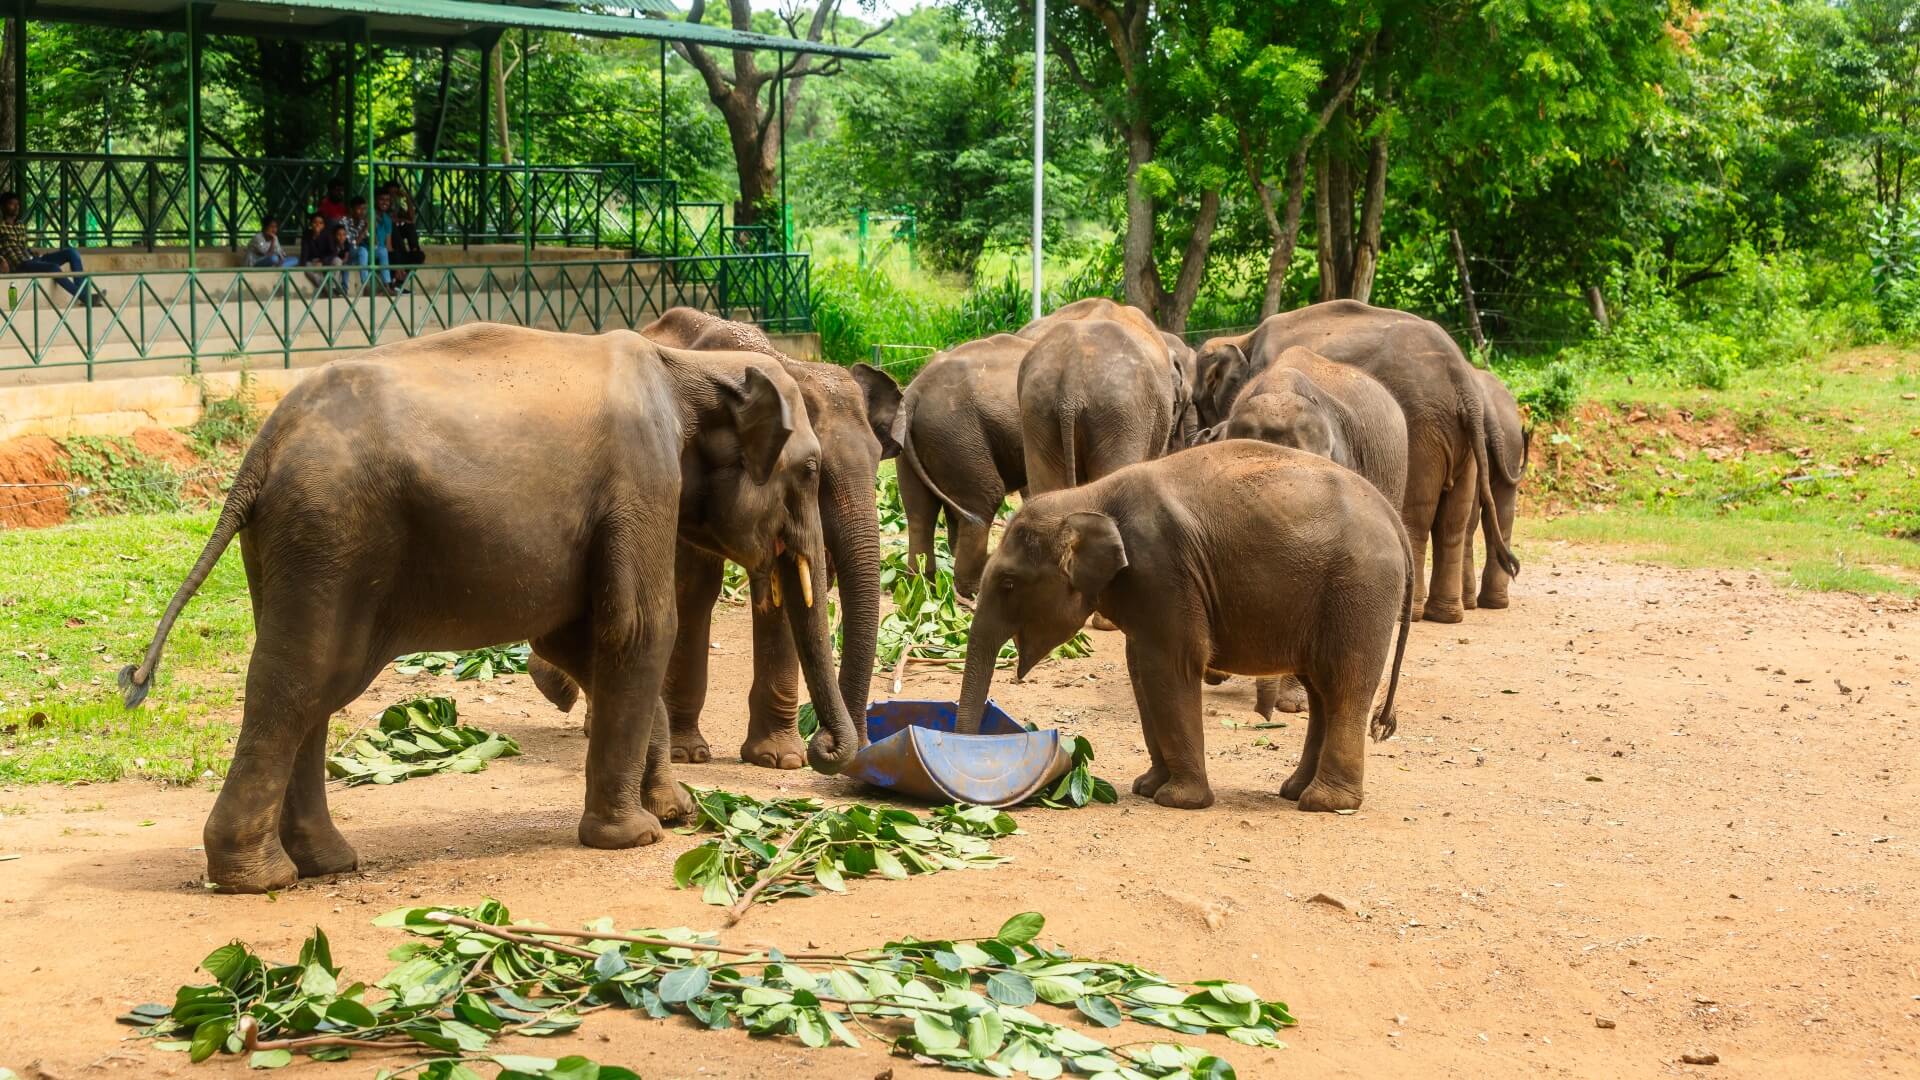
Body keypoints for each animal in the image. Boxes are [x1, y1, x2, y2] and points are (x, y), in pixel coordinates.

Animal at [119, 323, 858, 893]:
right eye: (810, 471)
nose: (823, 750)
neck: (689, 368)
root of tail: (260, 450)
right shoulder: (642, 480)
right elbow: (639, 630)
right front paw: (637, 836)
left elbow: (579, 643)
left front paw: (676, 812)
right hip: (332, 533)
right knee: (300, 679)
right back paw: (261, 878)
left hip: (294, 546)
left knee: (316, 684)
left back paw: (325, 863)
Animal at [528, 308, 901, 770]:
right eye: (817, 473)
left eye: (879, 462)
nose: (833, 746)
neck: (790, 366)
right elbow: (693, 587)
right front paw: (687, 755)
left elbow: (781, 593)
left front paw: (779, 760)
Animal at [895, 333, 1033, 597]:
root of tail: (915, 392)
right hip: (958, 433)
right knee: (984, 501)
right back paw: (973, 589)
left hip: (917, 443)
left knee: (920, 511)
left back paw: (921, 587)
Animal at [954, 441, 1412, 812]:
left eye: (1009, 583)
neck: (1088, 496)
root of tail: (1393, 516)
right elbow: (1141, 670)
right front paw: (1147, 786)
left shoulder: (1163, 570)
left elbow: (1171, 666)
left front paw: (1178, 800)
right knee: (1321, 691)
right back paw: (1295, 791)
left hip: (1359, 591)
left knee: (1344, 684)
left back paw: (1325, 803)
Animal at [1193, 300, 1518, 623]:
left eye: (1196, 399)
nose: (1203, 435)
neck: (1243, 338)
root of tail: (1463, 378)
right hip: (1460, 433)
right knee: (1456, 519)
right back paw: (1448, 614)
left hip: (1424, 426)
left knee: (1418, 512)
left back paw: (1412, 613)